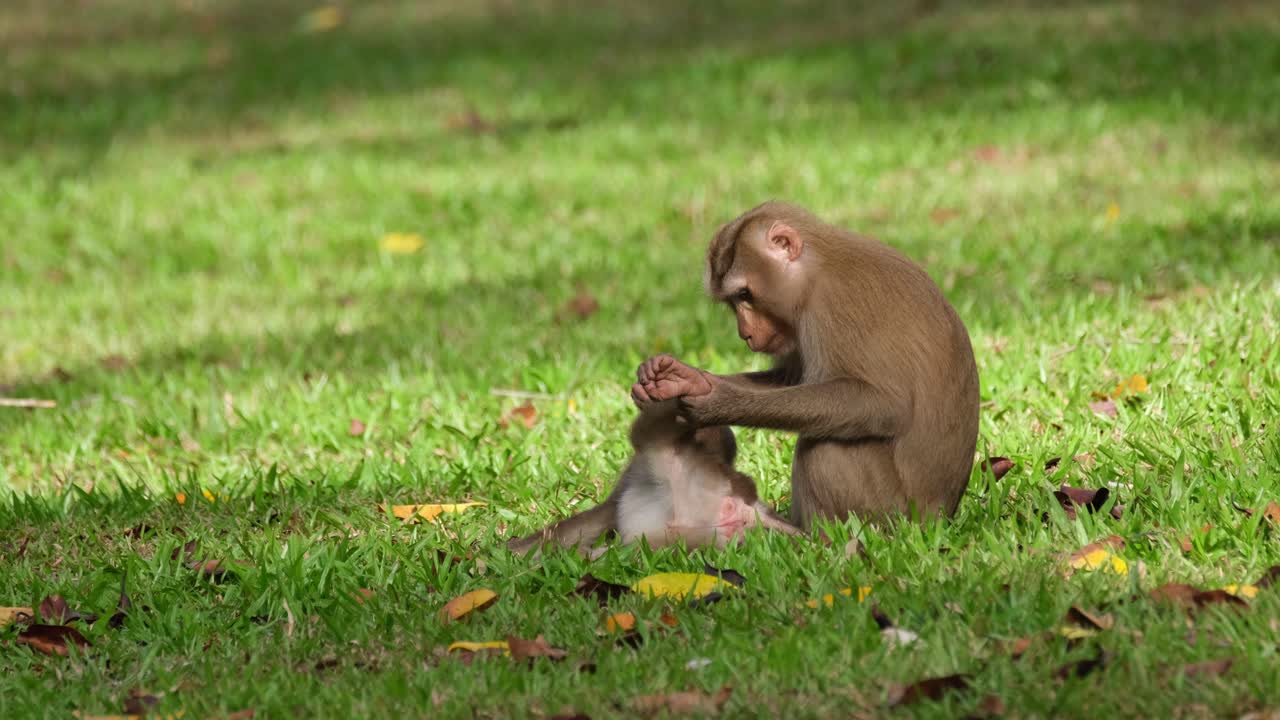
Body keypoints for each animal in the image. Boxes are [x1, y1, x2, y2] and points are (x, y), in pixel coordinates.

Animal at [630, 201, 980, 528]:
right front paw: (684, 379)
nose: (745, 333)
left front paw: (716, 402)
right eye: (733, 301)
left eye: (745, 294)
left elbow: (884, 404)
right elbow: (790, 378)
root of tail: (941, 515)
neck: (816, 269)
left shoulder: (833, 306)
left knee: (828, 446)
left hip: (894, 511)